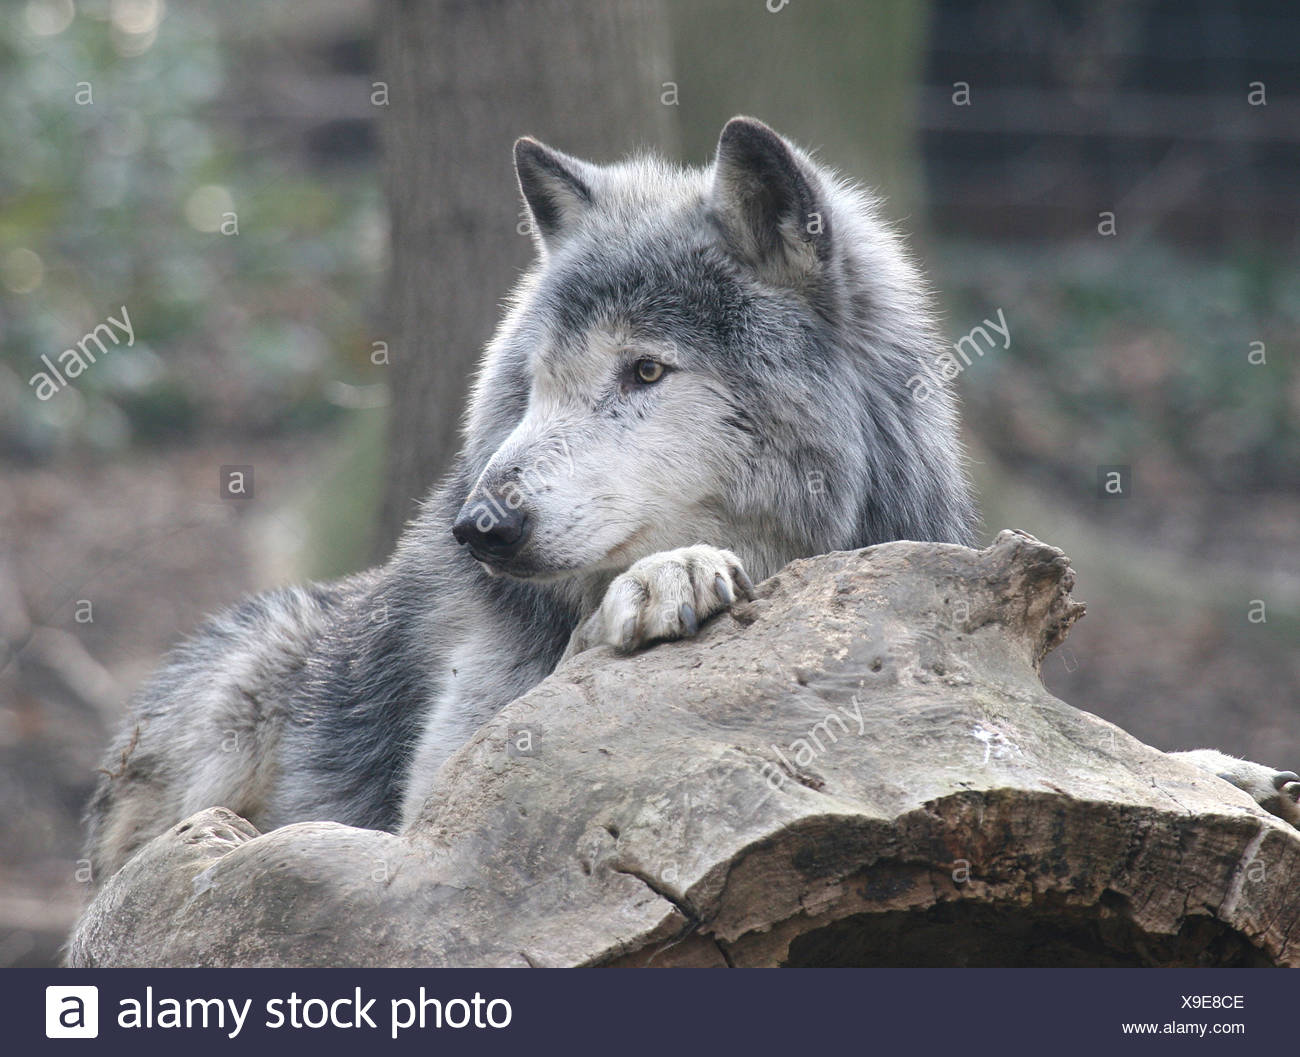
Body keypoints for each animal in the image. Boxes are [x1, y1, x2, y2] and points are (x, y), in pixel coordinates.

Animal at [86, 115, 1294, 878]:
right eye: (537, 383)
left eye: (644, 372)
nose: (480, 526)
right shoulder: (440, 818)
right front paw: (661, 581)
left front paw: (1225, 770)